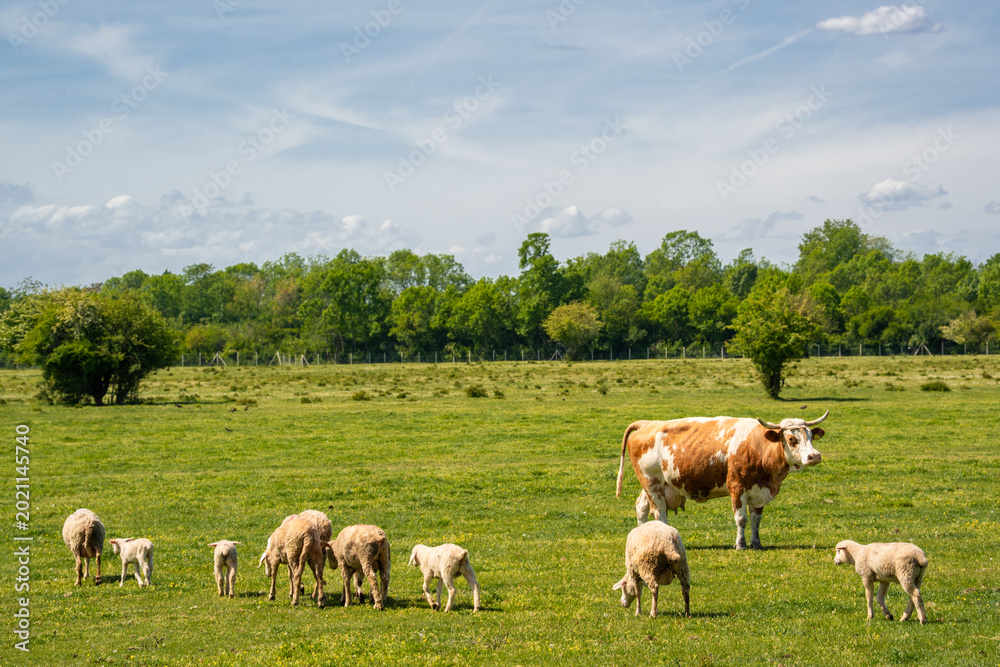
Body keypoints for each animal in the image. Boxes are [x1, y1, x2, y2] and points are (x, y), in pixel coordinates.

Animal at [615, 411, 828, 550]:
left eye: (811, 436)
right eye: (792, 439)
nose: (814, 456)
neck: (758, 446)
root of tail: (647, 423)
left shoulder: (760, 491)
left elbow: (756, 520)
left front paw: (756, 543)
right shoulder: (737, 487)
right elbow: (741, 519)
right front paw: (740, 545)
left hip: (656, 484)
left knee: (641, 506)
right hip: (652, 482)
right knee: (659, 512)